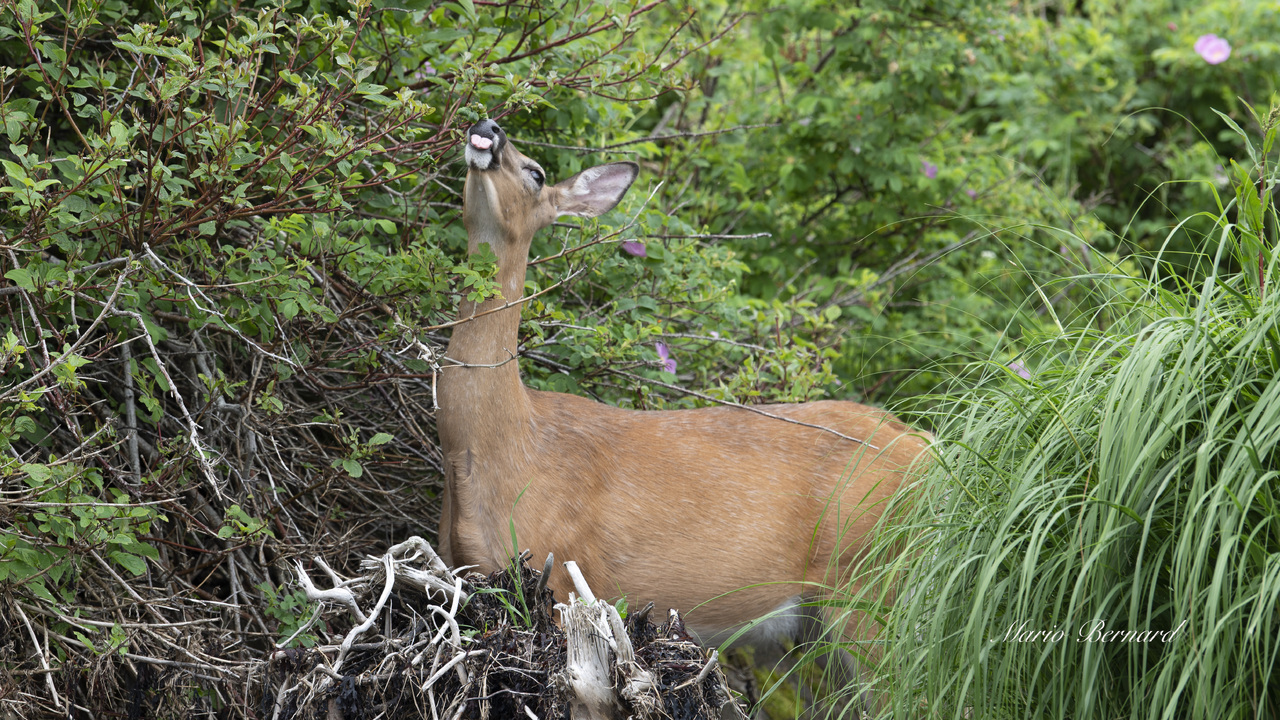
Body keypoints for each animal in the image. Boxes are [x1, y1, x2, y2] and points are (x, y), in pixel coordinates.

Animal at [436, 118, 931, 678]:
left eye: (537, 173)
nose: (488, 127)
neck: (500, 446)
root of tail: (927, 446)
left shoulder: (562, 576)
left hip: (872, 583)